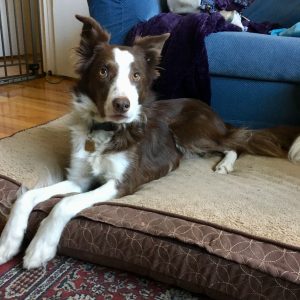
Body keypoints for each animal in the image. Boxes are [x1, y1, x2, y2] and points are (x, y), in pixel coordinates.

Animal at [0, 15, 300, 270]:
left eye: (136, 76)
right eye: (103, 71)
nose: (123, 105)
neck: (106, 131)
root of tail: (212, 112)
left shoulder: (123, 182)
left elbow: (65, 204)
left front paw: (39, 248)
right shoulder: (79, 179)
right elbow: (28, 195)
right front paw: (8, 243)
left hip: (191, 133)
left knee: (236, 143)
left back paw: (225, 164)